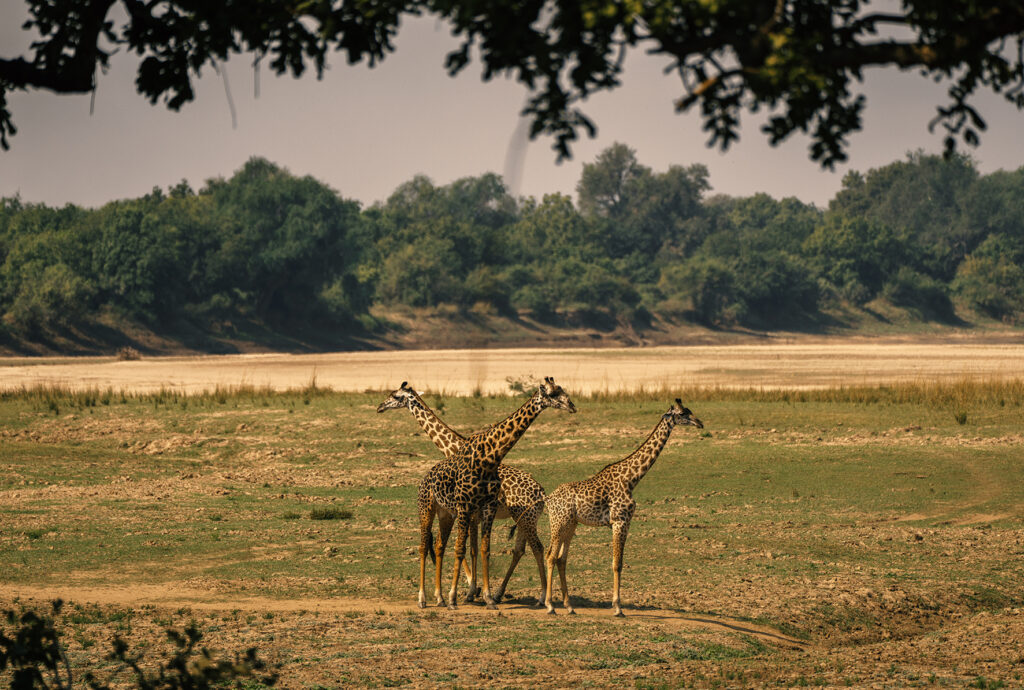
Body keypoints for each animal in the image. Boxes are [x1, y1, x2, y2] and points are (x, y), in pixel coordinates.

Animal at [376, 382, 549, 606]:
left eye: (395, 396)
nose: (380, 406)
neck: (454, 448)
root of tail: (542, 493)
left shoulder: (467, 511)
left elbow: (466, 547)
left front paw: (469, 589)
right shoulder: (471, 513)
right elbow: (472, 547)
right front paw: (473, 590)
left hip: (525, 518)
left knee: (537, 547)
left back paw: (541, 597)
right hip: (524, 519)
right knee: (520, 550)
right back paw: (500, 593)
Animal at [417, 377, 575, 609]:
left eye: (561, 389)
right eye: (553, 393)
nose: (572, 406)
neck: (489, 456)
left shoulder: (485, 507)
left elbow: (483, 549)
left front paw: (486, 596)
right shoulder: (466, 507)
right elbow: (462, 548)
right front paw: (459, 596)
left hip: (460, 514)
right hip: (428, 509)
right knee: (424, 545)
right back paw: (425, 598)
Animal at [544, 399, 703, 617]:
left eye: (689, 410)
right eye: (682, 414)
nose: (700, 423)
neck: (632, 479)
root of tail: (549, 499)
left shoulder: (625, 522)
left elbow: (618, 563)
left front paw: (616, 605)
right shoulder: (620, 521)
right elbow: (617, 564)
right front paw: (618, 607)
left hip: (571, 524)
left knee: (560, 559)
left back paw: (569, 606)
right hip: (559, 523)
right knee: (551, 556)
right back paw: (550, 605)